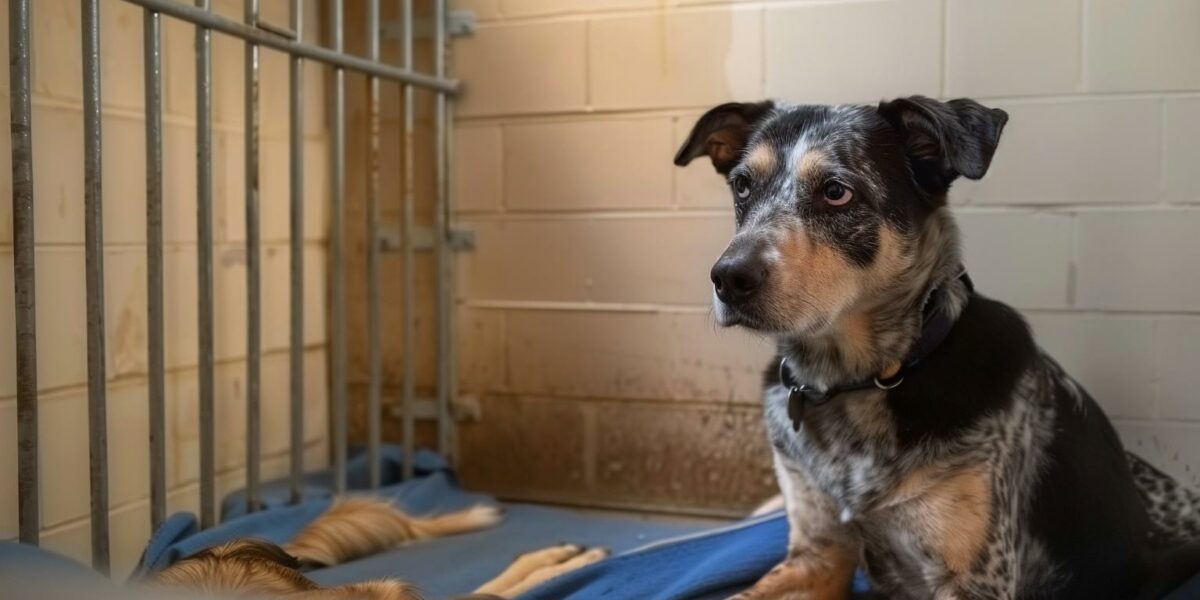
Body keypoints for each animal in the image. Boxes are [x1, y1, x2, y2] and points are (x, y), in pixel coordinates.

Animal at [676, 97, 1200, 600]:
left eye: (836, 191)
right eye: (743, 187)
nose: (728, 278)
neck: (856, 383)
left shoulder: (973, 579)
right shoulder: (815, 556)